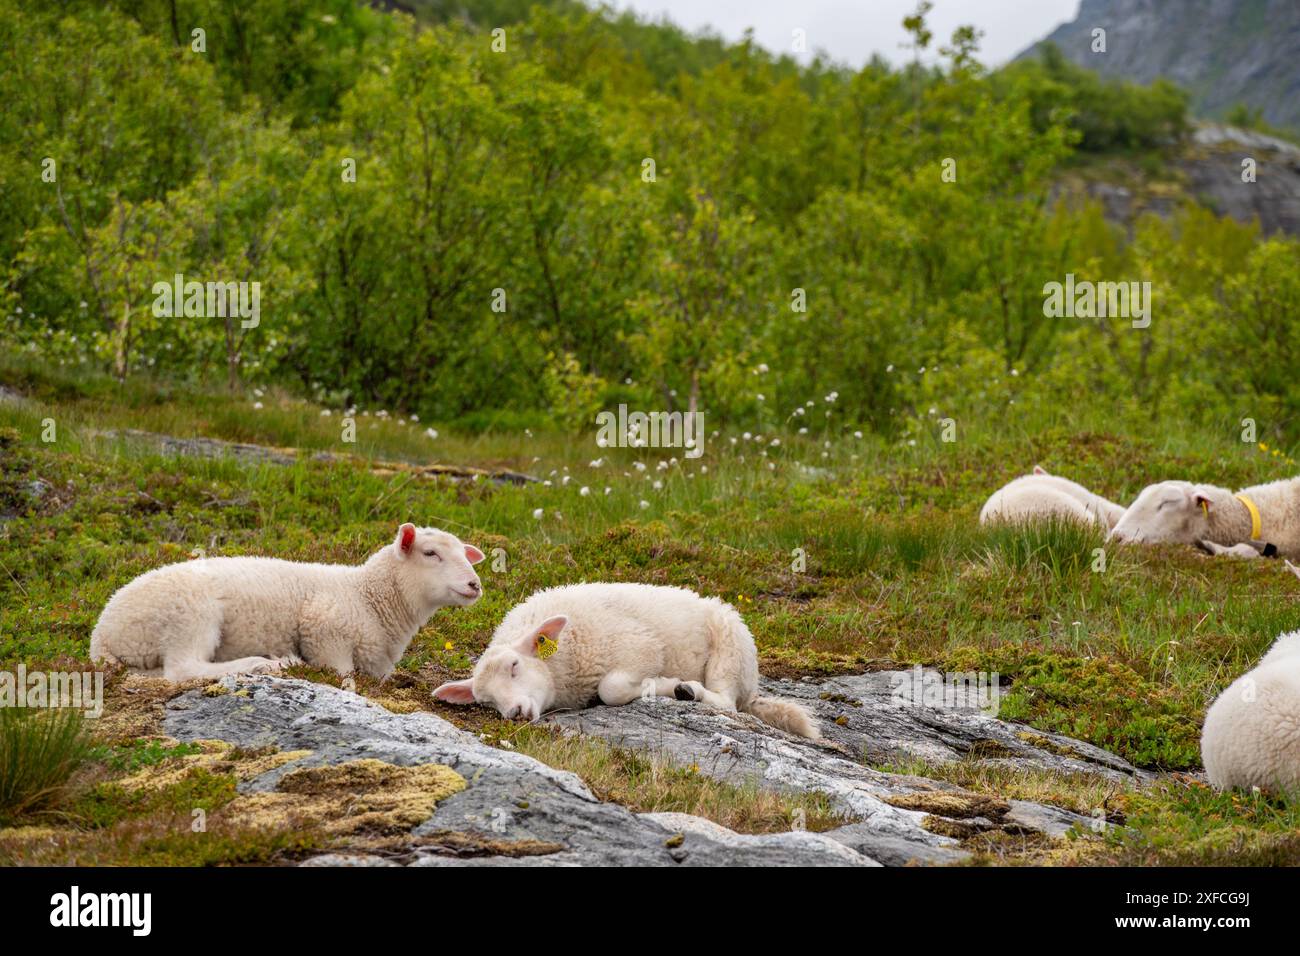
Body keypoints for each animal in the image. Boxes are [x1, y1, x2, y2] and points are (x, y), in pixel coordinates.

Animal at [91, 528, 486, 686]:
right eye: (430, 553)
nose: (475, 585)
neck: (368, 596)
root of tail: (102, 635)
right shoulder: (324, 632)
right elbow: (344, 676)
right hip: (189, 615)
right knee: (183, 669)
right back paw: (268, 664)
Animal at [436, 580, 821, 743]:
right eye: (487, 702)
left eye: (515, 666)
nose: (515, 713)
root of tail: (752, 691)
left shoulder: (642, 647)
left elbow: (613, 688)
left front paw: (662, 684)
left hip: (730, 645)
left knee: (726, 702)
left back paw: (687, 690)